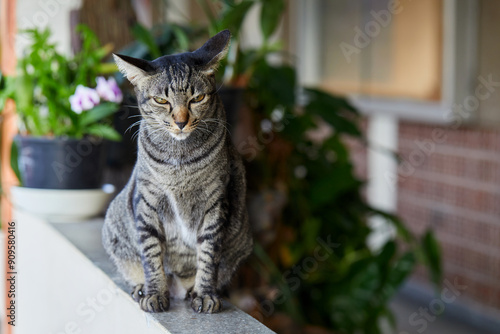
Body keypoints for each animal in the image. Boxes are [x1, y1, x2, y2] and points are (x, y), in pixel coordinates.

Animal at [101, 30, 252, 314]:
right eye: (162, 100)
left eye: (198, 98)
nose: (181, 122)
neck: (180, 164)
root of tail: (178, 288)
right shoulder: (147, 200)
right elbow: (151, 254)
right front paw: (154, 293)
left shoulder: (216, 201)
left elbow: (208, 254)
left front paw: (205, 294)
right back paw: (141, 288)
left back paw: (191, 291)